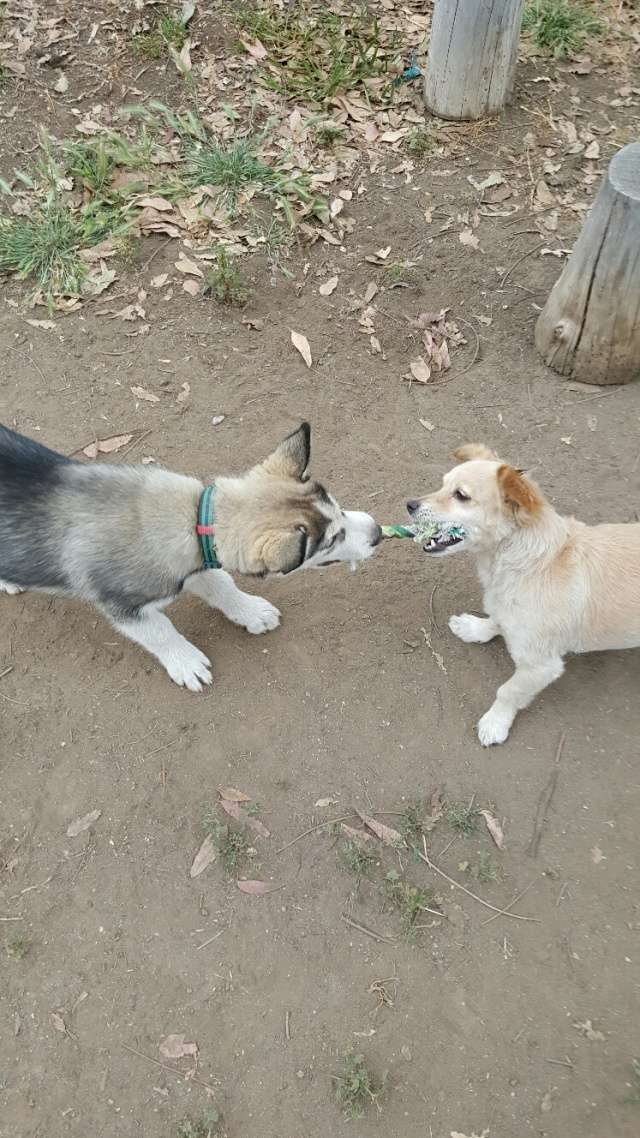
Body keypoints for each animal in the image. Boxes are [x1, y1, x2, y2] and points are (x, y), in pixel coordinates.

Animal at [0, 425, 378, 687]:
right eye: (334, 540)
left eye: (339, 509)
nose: (376, 533)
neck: (187, 516)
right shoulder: (122, 607)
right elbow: (160, 630)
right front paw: (185, 662)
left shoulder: (200, 560)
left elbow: (224, 587)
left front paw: (251, 612)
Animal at [405, 443, 637, 746]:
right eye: (442, 484)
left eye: (461, 496)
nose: (409, 504)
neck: (531, 565)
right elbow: (495, 619)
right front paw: (474, 628)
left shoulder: (541, 666)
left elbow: (508, 692)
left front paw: (495, 722)